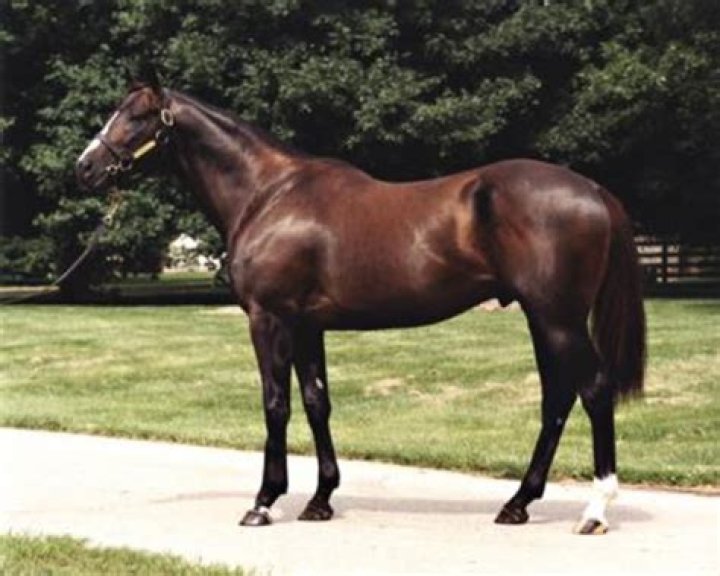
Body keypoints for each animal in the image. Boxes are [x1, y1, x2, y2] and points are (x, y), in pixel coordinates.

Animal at [76, 76, 646, 535]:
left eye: (137, 116)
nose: (86, 167)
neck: (267, 194)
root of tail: (593, 189)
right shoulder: (307, 326)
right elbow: (316, 402)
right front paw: (320, 499)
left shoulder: (268, 318)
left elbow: (275, 403)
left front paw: (263, 502)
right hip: (542, 317)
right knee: (557, 398)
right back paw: (518, 503)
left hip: (557, 319)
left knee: (593, 391)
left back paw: (594, 510)